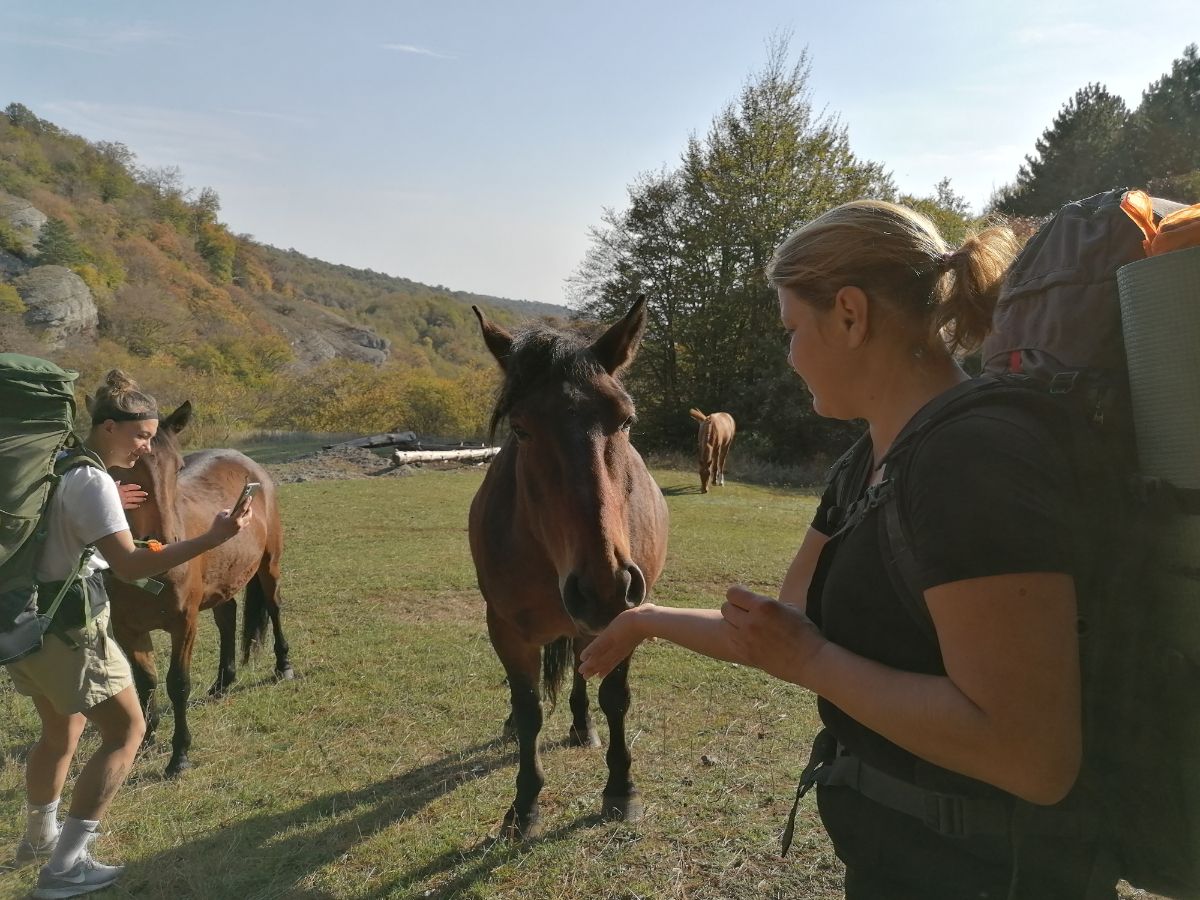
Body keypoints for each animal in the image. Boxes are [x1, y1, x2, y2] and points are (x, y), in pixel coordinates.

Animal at [103, 400, 295, 777]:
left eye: (178, 468)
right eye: (124, 468)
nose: (164, 541)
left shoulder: (184, 623)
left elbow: (177, 683)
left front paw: (179, 756)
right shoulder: (128, 629)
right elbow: (145, 681)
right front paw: (145, 741)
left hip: (269, 565)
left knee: (274, 606)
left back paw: (283, 666)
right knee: (227, 618)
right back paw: (223, 683)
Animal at [468, 300, 672, 844]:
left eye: (626, 421)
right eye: (520, 429)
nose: (605, 586)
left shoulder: (627, 620)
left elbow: (615, 697)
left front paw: (622, 789)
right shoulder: (505, 629)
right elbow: (529, 708)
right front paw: (523, 805)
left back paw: (583, 725)